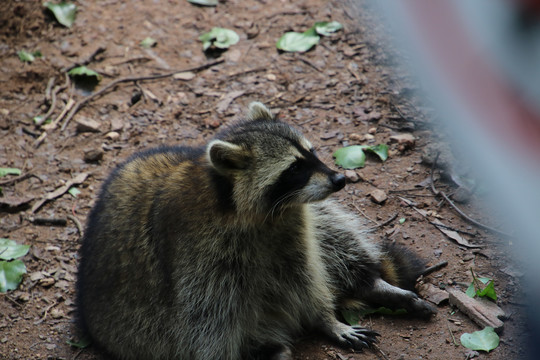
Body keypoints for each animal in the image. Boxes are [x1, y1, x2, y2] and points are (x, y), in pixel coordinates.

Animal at [76, 102, 436, 360]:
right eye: (294, 169)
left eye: (312, 153)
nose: (339, 179)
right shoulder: (199, 253)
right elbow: (206, 316)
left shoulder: (293, 226)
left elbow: (307, 275)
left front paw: (326, 318)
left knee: (331, 230)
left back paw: (369, 282)